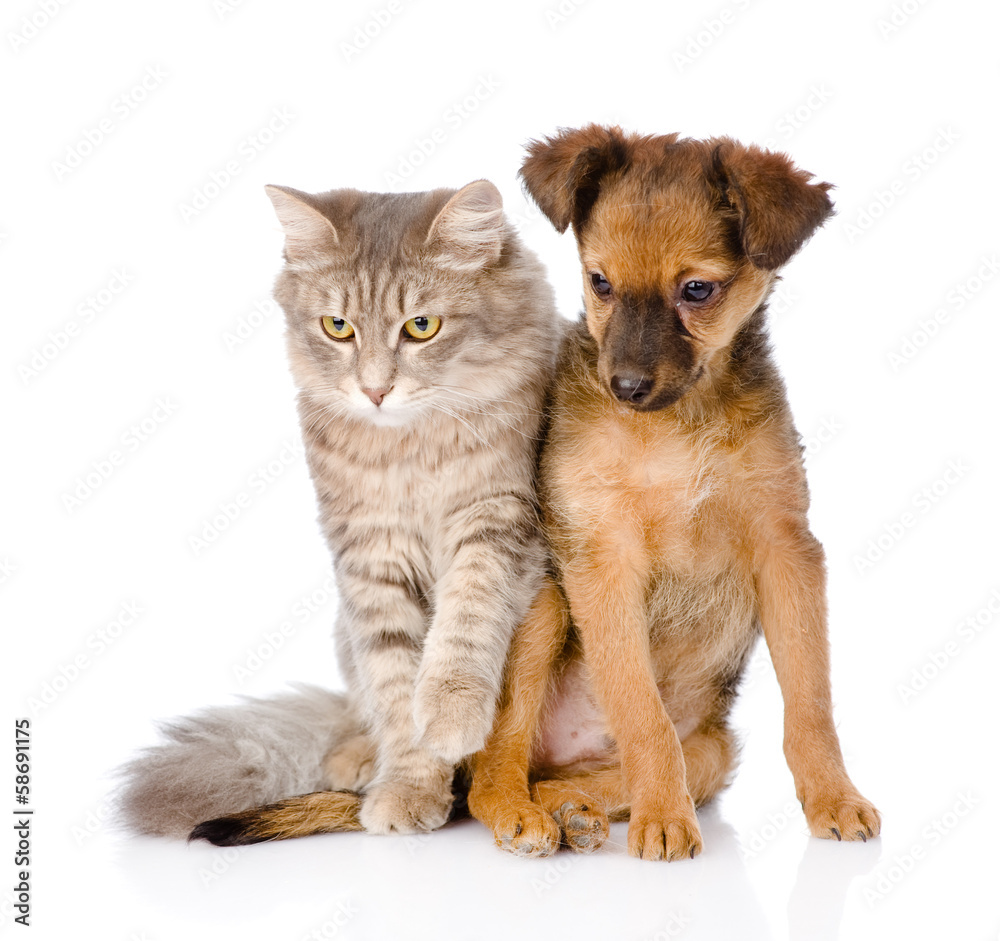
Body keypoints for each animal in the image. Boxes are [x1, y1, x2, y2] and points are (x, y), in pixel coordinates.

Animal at [115, 178, 564, 836]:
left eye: (421, 326)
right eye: (338, 327)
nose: (375, 391)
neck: (409, 450)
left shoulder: (499, 519)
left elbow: (465, 621)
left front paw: (450, 716)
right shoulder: (369, 554)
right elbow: (394, 681)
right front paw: (408, 785)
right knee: (358, 705)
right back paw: (355, 758)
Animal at [464, 125, 880, 860]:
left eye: (696, 289)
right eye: (600, 282)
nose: (625, 386)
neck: (676, 429)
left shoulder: (787, 550)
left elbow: (810, 704)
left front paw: (834, 796)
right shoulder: (603, 561)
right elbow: (642, 712)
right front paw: (664, 816)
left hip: (715, 748)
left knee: (601, 771)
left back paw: (573, 805)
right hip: (542, 606)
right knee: (493, 770)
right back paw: (526, 813)